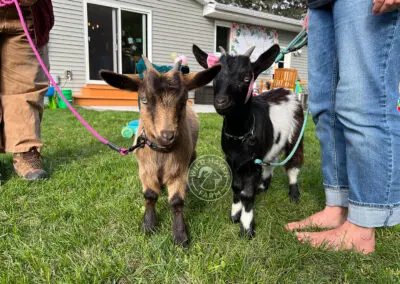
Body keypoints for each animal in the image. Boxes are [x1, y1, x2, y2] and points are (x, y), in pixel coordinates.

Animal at [99, 58, 220, 246]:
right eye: (144, 99)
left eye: (184, 100)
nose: (167, 135)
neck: (162, 151)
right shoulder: (145, 169)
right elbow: (150, 195)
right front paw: (148, 225)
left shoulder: (178, 170)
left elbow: (176, 201)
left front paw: (180, 235)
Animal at [193, 44, 304, 237]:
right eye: (214, 77)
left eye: (246, 78)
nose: (221, 102)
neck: (240, 135)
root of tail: (286, 90)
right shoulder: (231, 160)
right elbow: (237, 187)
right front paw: (235, 214)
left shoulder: (252, 162)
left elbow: (247, 193)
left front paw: (246, 227)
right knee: (271, 161)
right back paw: (263, 186)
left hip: (296, 133)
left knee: (293, 163)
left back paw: (293, 193)